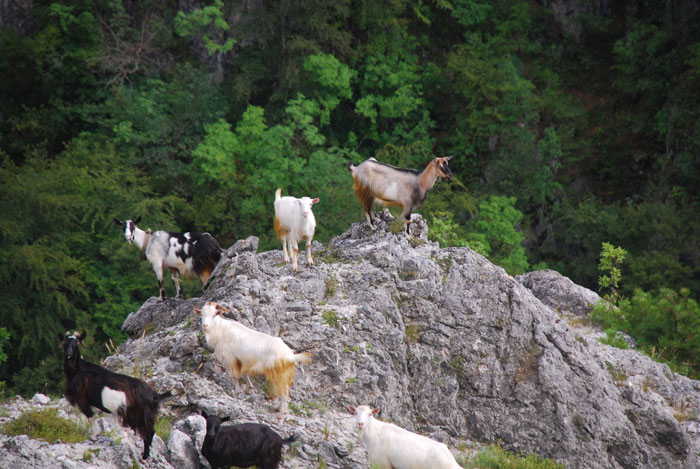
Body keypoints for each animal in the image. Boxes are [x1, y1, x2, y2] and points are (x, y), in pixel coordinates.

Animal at [59, 331, 171, 459]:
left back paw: (144, 456)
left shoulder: (83, 400)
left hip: (142, 416)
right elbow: (94, 418)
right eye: (64, 342)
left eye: (77, 343)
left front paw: (93, 437)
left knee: (148, 434)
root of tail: (154, 396)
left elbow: (91, 418)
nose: (69, 354)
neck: (76, 370)